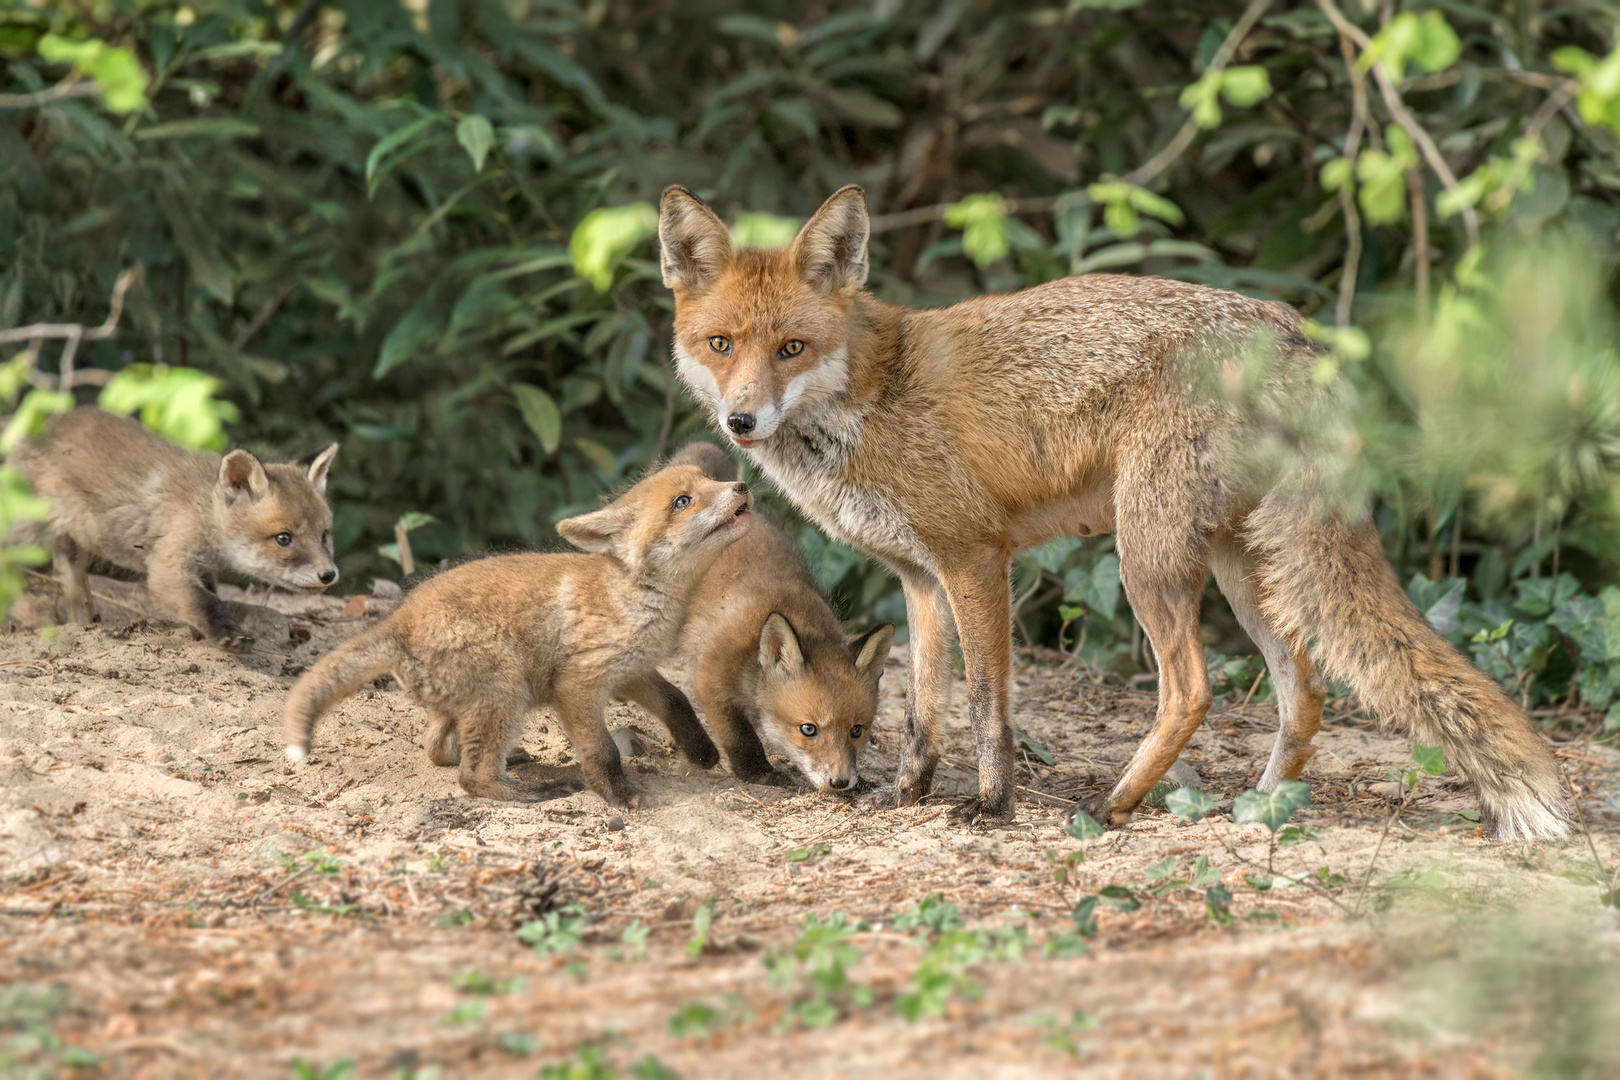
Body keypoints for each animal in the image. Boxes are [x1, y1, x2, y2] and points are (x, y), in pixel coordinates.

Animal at [654, 183, 1568, 841]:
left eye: (792, 349)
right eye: (721, 346)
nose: (742, 421)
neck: (868, 399)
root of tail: (1294, 333)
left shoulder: (975, 558)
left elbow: (986, 706)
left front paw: (992, 806)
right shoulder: (917, 575)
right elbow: (921, 710)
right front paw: (907, 793)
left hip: (1148, 556)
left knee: (1192, 689)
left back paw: (1115, 805)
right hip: (1241, 567)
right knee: (1303, 689)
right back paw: (1261, 806)